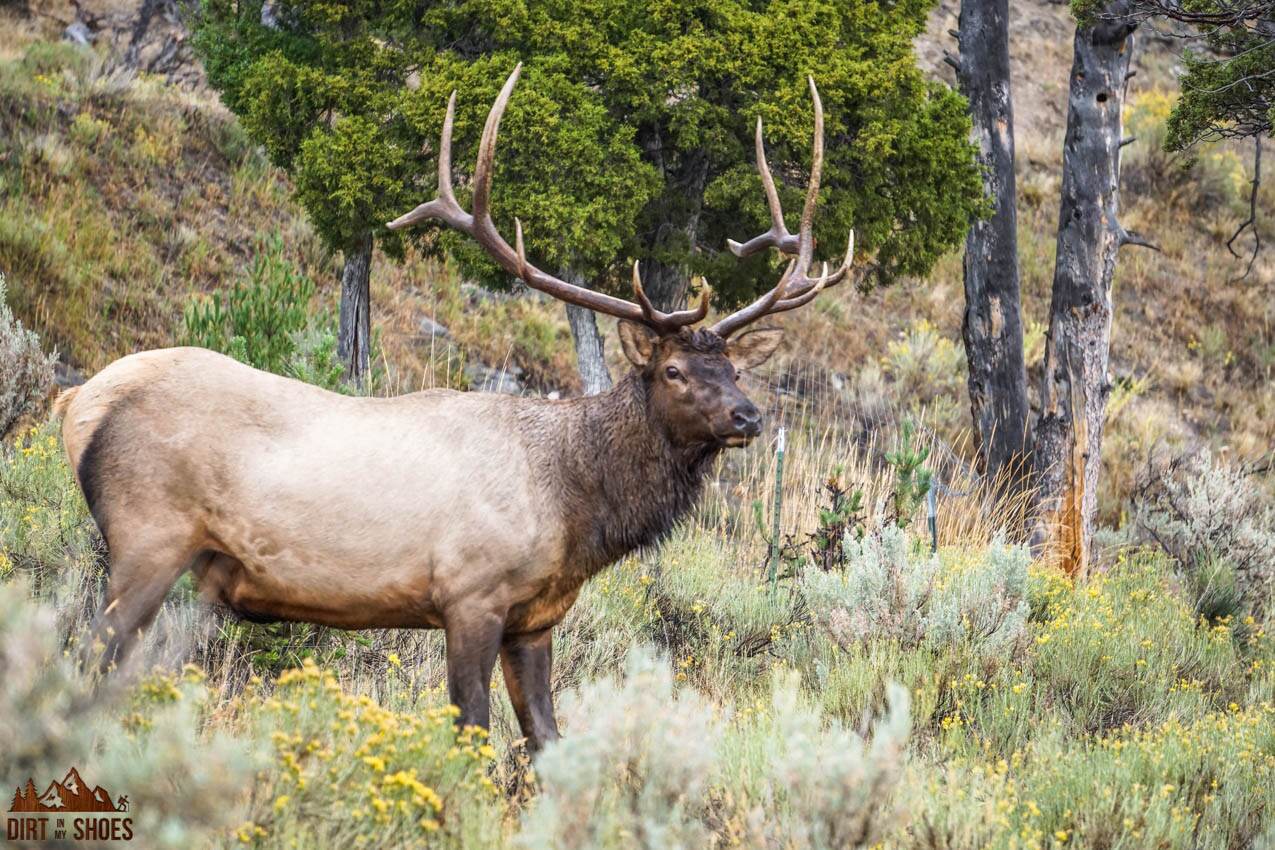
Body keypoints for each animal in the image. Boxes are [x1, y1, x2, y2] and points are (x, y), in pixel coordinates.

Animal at [57, 66, 856, 749]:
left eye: (732, 366)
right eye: (673, 370)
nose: (748, 417)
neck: (574, 507)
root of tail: (78, 403)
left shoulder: (534, 619)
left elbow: (545, 738)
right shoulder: (469, 593)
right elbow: (471, 730)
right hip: (147, 535)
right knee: (84, 658)